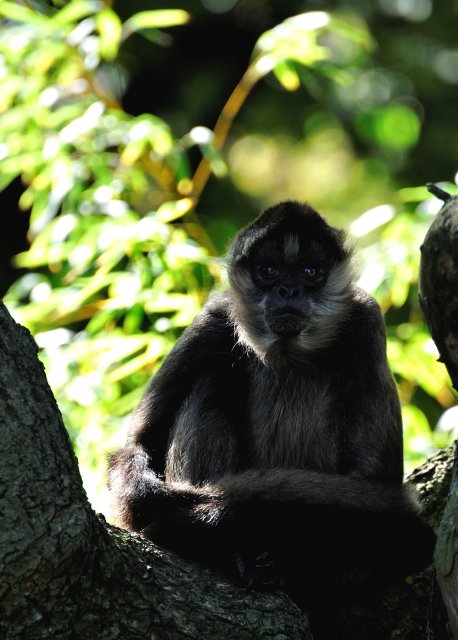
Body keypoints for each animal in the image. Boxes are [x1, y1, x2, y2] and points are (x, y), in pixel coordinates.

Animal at [108, 200, 435, 615]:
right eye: (269, 270)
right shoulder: (213, 321)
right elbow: (134, 461)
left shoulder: (366, 320)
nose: (288, 289)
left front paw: (213, 516)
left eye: (310, 271)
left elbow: (377, 491)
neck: (286, 355)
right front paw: (195, 512)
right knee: (211, 380)